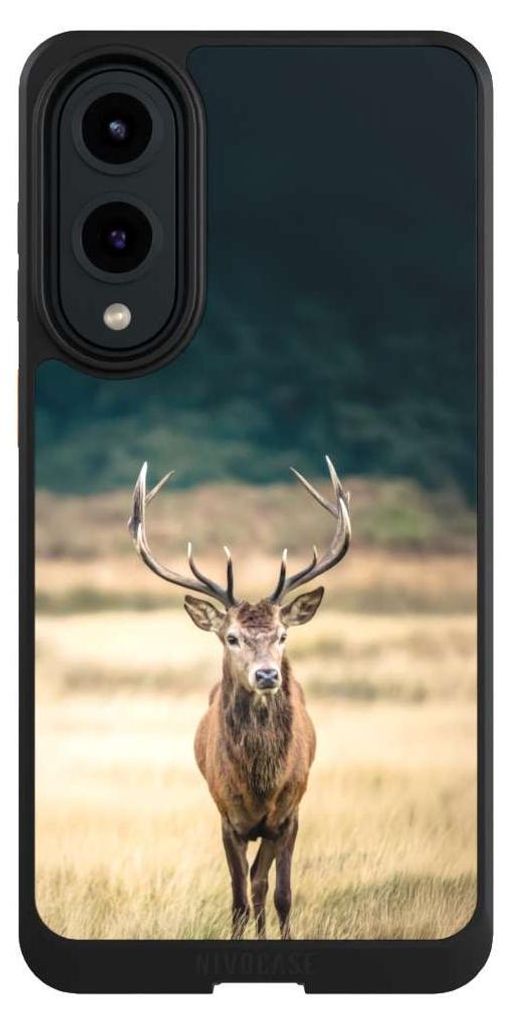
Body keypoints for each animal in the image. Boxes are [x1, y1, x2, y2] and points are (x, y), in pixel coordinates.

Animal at [128, 456, 351, 940]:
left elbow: (280, 894)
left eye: (283, 634)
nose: (267, 674)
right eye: (231, 637)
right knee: (250, 887)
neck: (260, 785)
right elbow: (237, 900)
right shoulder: (226, 817)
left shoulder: (289, 814)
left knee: (262, 885)